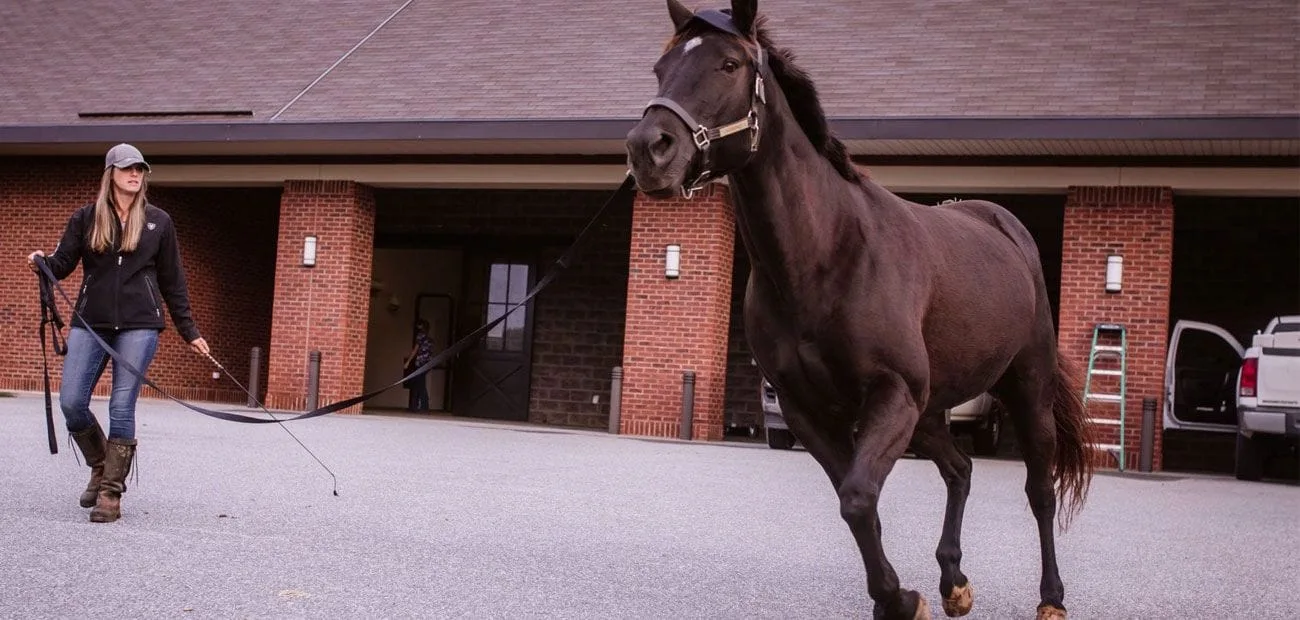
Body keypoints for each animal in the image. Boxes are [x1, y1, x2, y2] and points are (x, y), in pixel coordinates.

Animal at [624, 2, 1092, 616]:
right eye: (659, 69)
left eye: (729, 64)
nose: (648, 149)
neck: (827, 255)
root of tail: (1003, 227)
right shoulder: (807, 409)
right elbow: (857, 503)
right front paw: (899, 597)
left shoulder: (891, 394)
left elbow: (857, 498)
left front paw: (901, 598)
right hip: (929, 411)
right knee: (960, 469)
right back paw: (953, 582)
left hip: (1025, 389)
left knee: (1039, 489)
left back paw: (1051, 596)